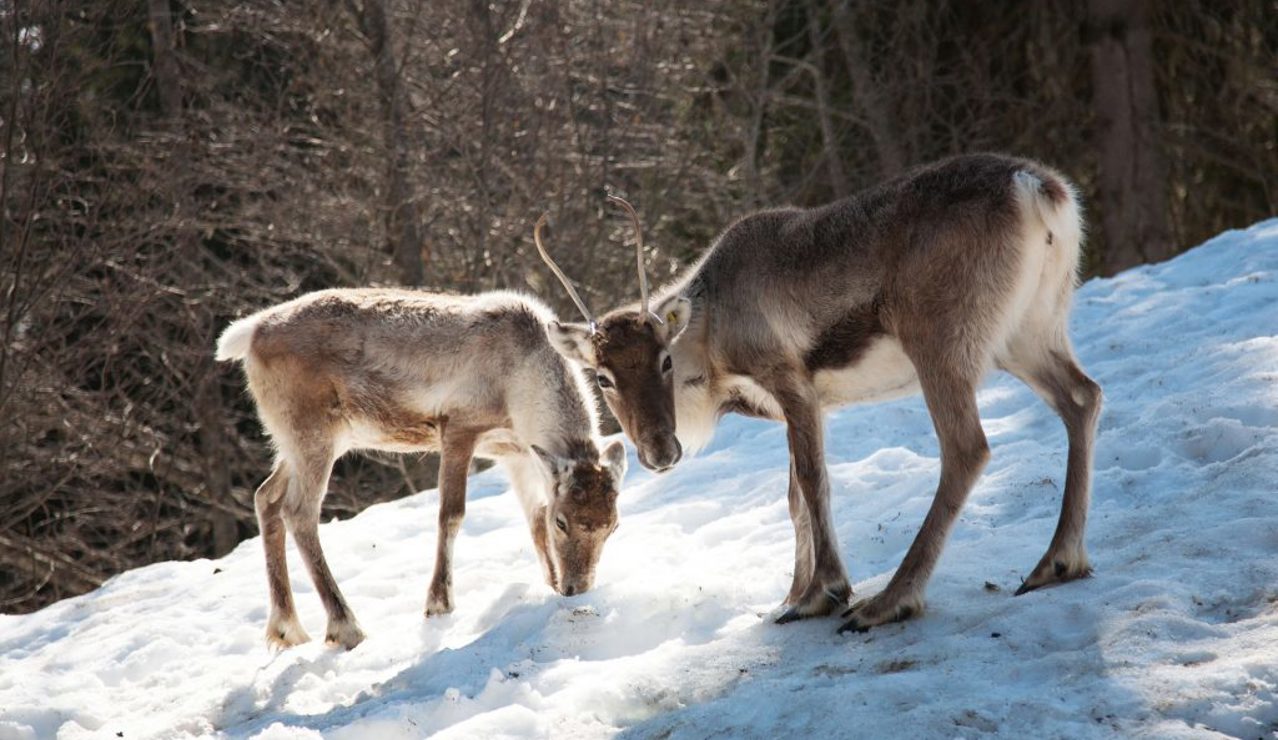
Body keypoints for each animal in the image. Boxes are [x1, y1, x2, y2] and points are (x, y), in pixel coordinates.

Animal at [215, 288, 627, 650]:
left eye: (613, 525)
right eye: (564, 521)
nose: (576, 588)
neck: (521, 390)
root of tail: (248, 334)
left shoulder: (516, 453)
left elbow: (533, 517)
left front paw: (550, 584)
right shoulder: (459, 426)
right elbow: (452, 514)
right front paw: (438, 603)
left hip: (298, 440)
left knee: (265, 496)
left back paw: (288, 628)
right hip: (312, 432)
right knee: (299, 511)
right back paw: (346, 627)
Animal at [535, 153, 1102, 634]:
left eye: (665, 360)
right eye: (603, 377)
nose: (660, 451)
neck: (713, 336)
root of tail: (1036, 188)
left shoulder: (791, 382)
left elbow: (812, 483)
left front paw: (823, 593)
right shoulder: (806, 406)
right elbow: (793, 499)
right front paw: (792, 594)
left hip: (941, 344)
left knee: (967, 448)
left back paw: (890, 600)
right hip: (1028, 332)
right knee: (1084, 397)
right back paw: (1057, 562)